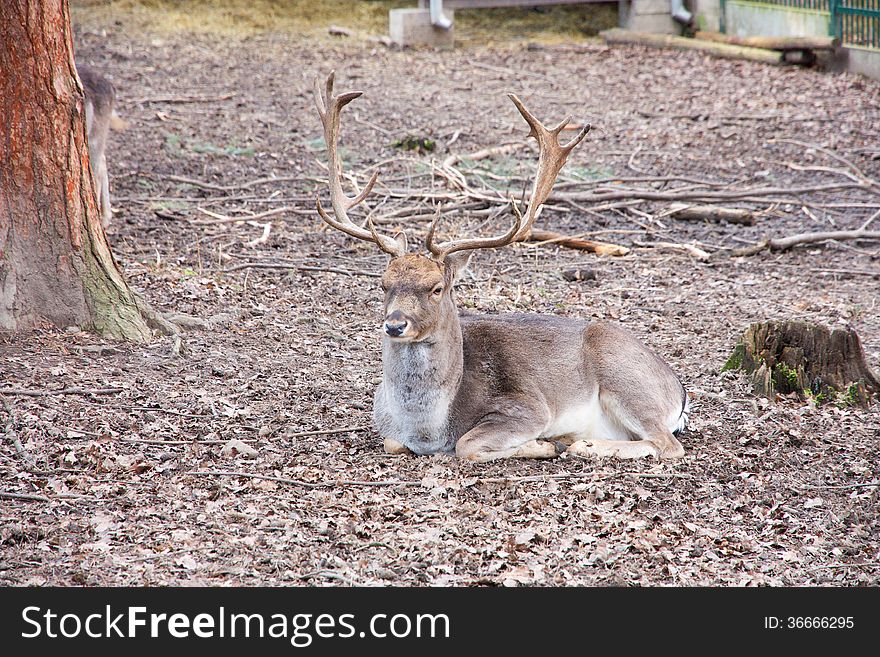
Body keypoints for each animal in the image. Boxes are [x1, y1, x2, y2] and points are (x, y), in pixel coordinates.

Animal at [312, 72, 692, 462]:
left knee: (668, 444)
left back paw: (579, 443)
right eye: (383, 283)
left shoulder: (528, 407)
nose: (395, 324)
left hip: (627, 380)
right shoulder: (388, 430)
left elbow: (466, 444)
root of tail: (680, 394)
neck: (428, 428)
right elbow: (393, 442)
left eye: (437, 288)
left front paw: (545, 443)